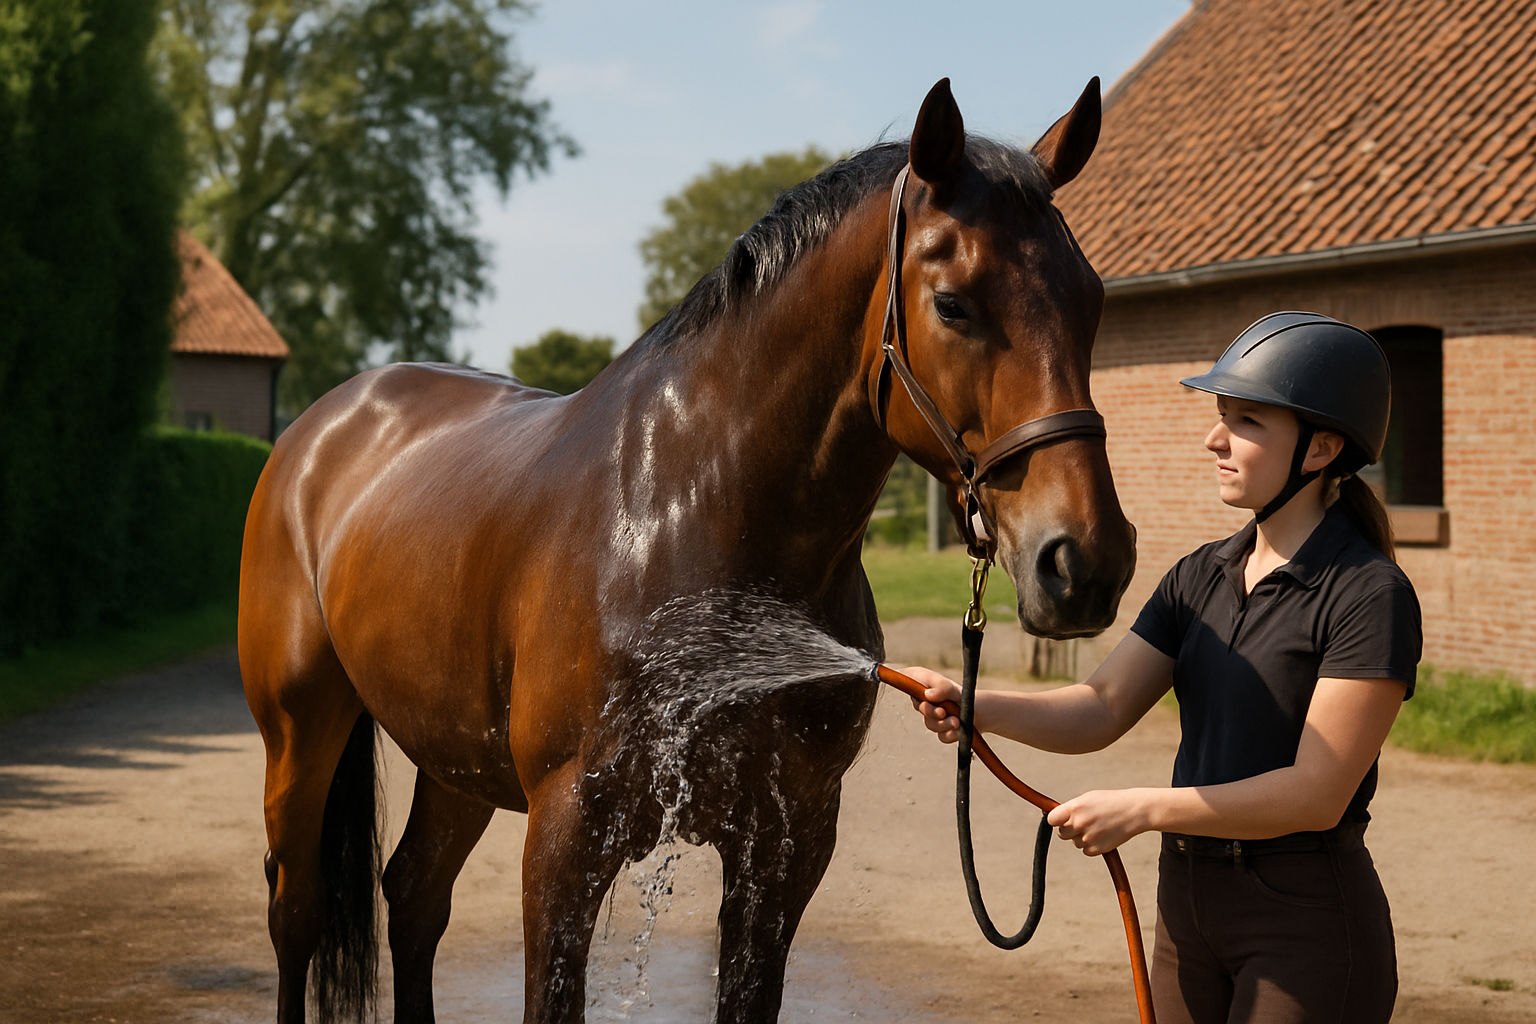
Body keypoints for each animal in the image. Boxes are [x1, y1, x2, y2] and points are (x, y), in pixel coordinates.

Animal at [238, 77, 1137, 1024]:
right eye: (954, 302)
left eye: (1092, 298)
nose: (1086, 562)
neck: (692, 527)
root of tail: (323, 425)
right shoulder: (565, 841)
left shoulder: (785, 846)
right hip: (301, 732)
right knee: (296, 913)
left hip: (452, 754)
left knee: (413, 896)